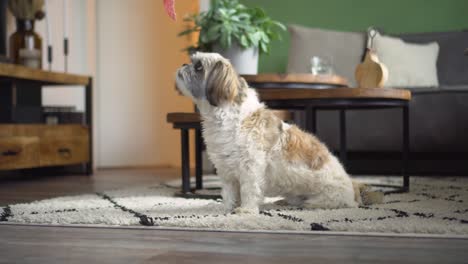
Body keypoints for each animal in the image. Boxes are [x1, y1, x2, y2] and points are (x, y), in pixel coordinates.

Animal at [175, 52, 380, 214]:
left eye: (199, 67)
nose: (184, 65)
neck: (224, 115)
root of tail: (352, 186)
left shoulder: (250, 167)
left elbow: (249, 190)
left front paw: (246, 210)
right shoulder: (226, 170)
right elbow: (229, 193)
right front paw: (226, 208)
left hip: (325, 198)